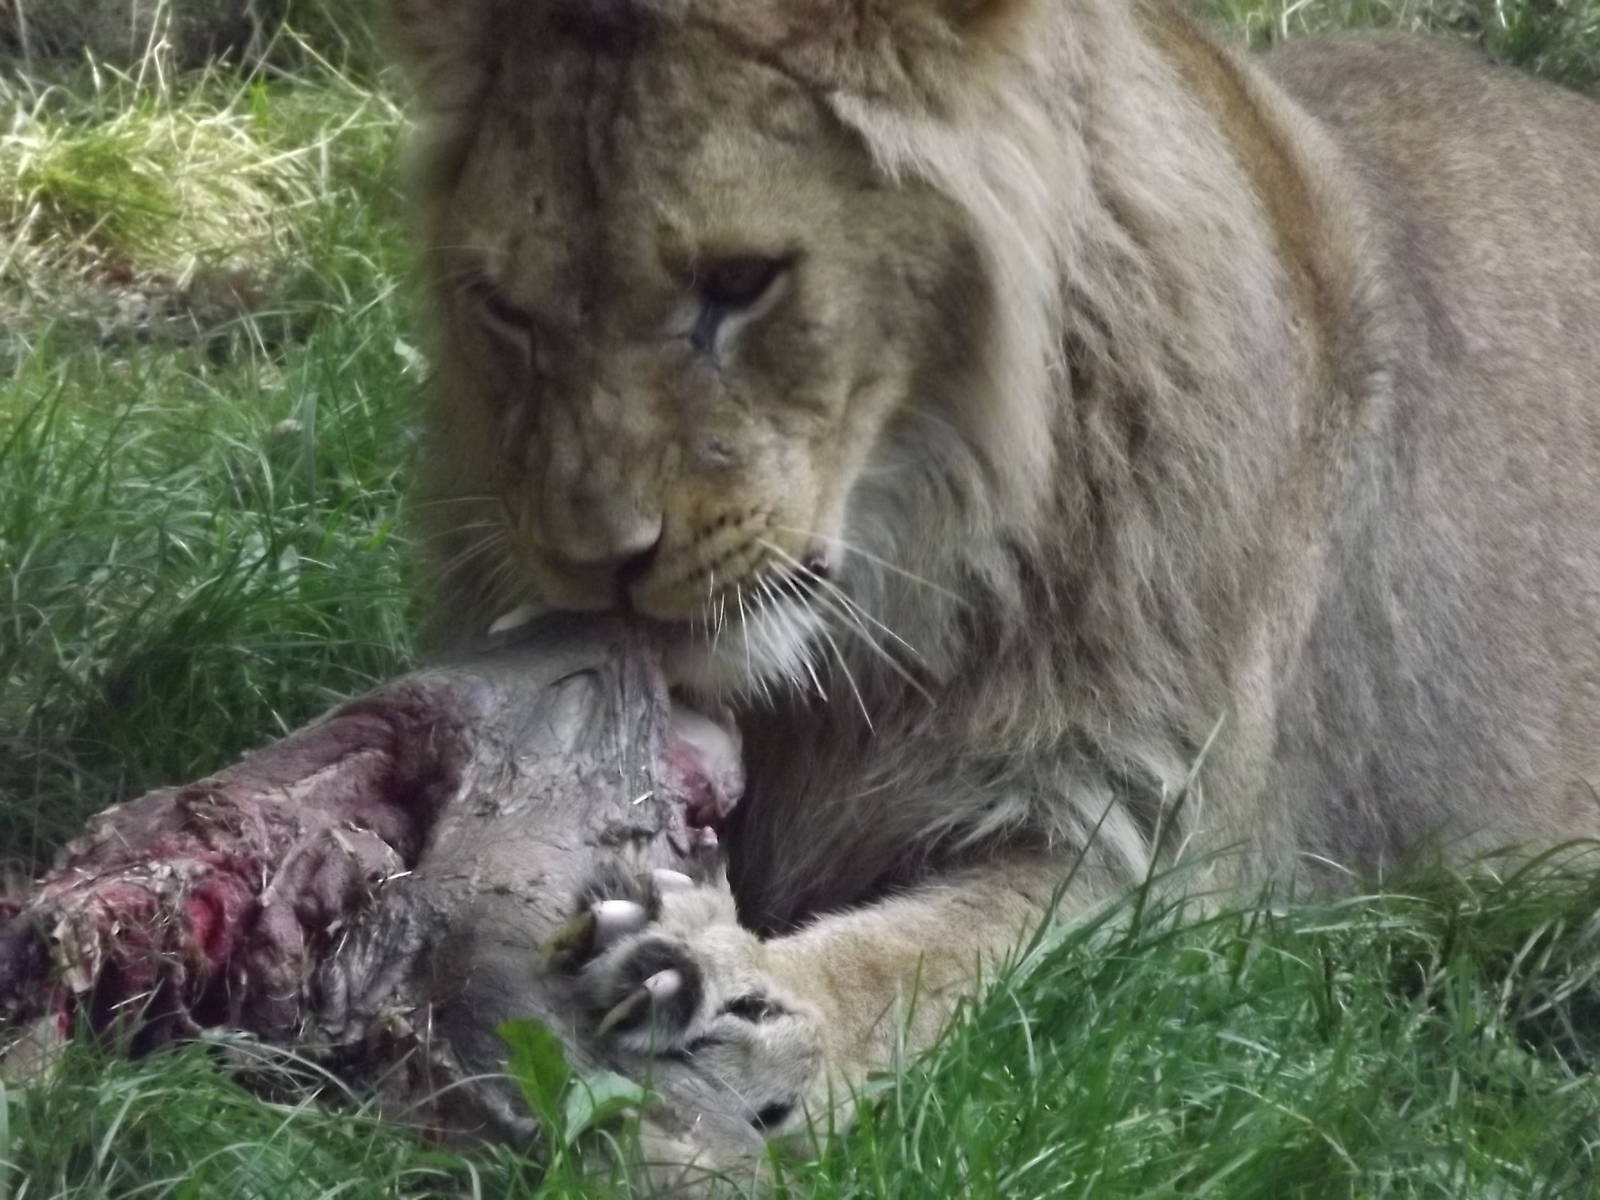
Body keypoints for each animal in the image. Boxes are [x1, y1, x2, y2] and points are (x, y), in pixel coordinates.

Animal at [389, 0, 1600, 1180]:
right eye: (505, 310)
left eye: (740, 284)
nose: (598, 562)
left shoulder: (1158, 860)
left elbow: (934, 958)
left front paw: (734, 995)